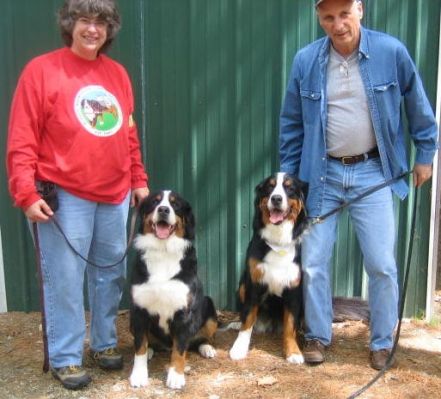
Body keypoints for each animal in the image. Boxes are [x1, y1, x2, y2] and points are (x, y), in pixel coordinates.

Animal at [128, 191, 217, 390]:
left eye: (175, 205)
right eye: (155, 202)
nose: (163, 209)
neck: (163, 250)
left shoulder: (183, 312)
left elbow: (179, 349)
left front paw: (176, 376)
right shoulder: (139, 310)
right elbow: (139, 347)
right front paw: (139, 375)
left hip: (209, 306)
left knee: (200, 339)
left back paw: (207, 348)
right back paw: (151, 350)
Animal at [230, 173, 306, 366]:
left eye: (289, 187)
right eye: (270, 187)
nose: (276, 198)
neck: (278, 241)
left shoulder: (294, 289)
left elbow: (290, 324)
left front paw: (293, 351)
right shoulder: (253, 283)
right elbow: (248, 319)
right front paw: (239, 348)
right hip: (242, 285)